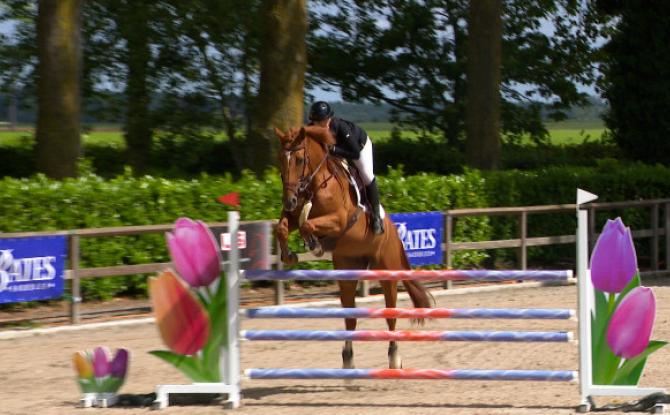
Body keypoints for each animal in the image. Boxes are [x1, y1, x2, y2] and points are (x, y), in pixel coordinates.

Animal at [273, 126, 433, 370]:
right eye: (281, 160)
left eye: (299, 160)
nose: (289, 201)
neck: (316, 183)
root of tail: (394, 231)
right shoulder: (293, 215)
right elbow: (282, 227)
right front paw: (289, 255)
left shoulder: (339, 219)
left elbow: (307, 224)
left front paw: (314, 245)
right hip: (348, 271)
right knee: (350, 317)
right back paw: (348, 360)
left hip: (386, 271)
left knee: (390, 314)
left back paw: (394, 358)